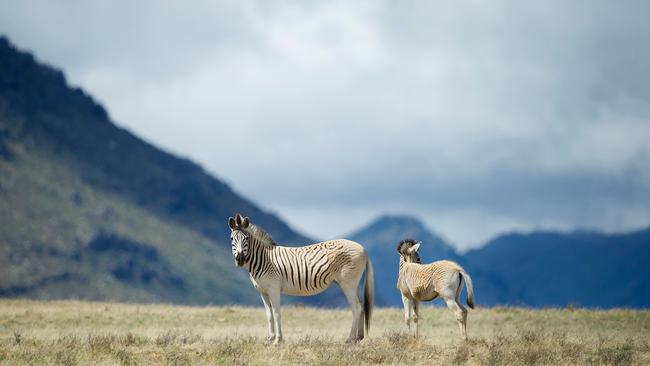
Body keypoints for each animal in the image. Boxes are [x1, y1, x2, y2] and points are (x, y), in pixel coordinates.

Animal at [227, 213, 372, 344]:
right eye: (232, 239)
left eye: (246, 238)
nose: (240, 259)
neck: (264, 259)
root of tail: (363, 249)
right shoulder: (262, 291)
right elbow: (269, 315)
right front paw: (269, 339)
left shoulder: (274, 288)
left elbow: (277, 313)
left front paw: (278, 341)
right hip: (351, 284)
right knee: (361, 305)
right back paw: (359, 337)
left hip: (348, 283)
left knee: (356, 308)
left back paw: (350, 339)